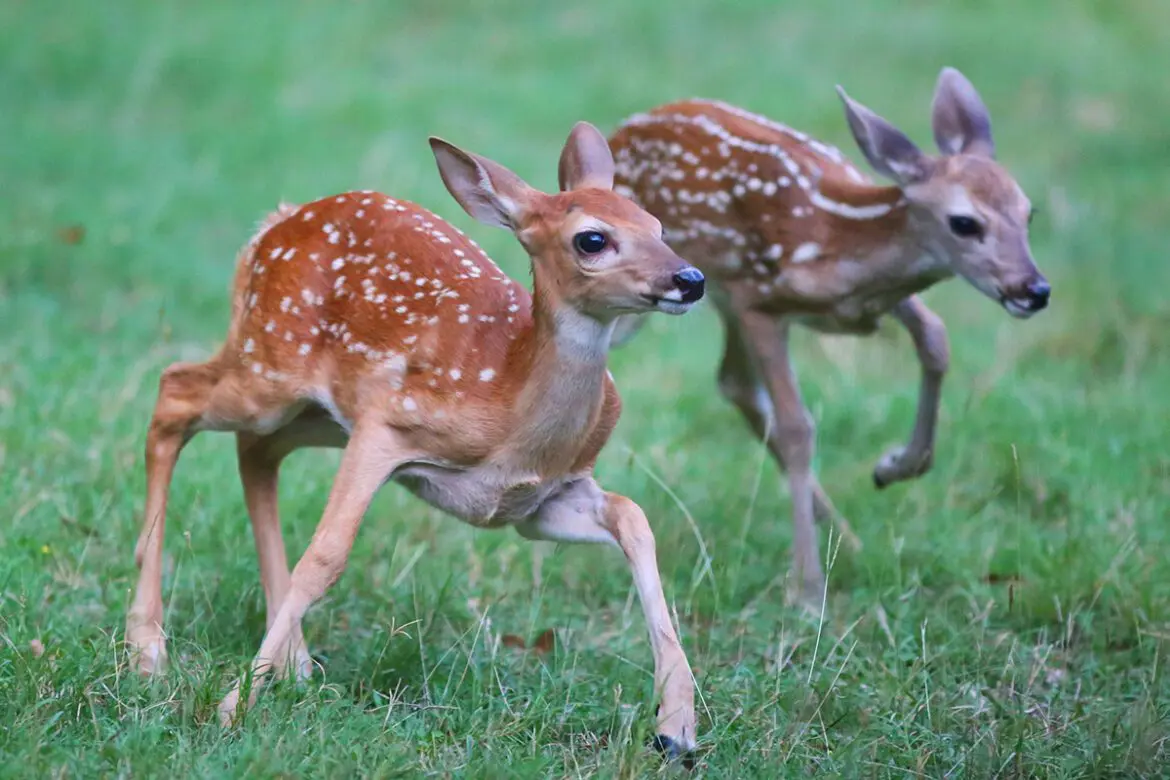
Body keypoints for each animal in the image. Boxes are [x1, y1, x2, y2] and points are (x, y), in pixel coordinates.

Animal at [123, 122, 706, 759]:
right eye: (593, 239)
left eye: (657, 225)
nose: (690, 279)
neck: (512, 409)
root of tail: (273, 225)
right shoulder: (387, 423)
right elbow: (325, 556)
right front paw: (230, 709)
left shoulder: (534, 503)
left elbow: (633, 518)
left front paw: (676, 723)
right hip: (268, 365)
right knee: (174, 392)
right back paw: (148, 650)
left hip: (315, 413)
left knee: (254, 451)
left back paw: (292, 662)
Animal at [607, 67, 1050, 606]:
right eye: (964, 222)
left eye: (1028, 212)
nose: (1033, 289)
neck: (837, 240)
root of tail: (618, 131)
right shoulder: (759, 300)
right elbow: (798, 427)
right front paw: (806, 588)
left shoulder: (863, 302)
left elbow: (936, 339)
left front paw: (896, 465)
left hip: (718, 298)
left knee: (733, 383)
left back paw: (849, 538)